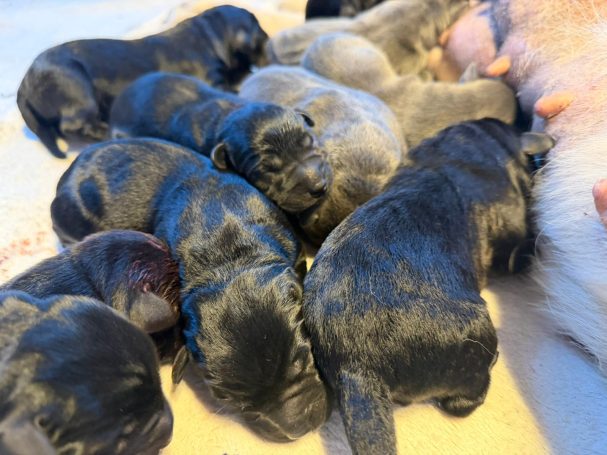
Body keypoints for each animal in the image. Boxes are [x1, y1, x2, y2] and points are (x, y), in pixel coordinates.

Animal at [17, 5, 268, 158]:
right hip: (76, 86)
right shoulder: (213, 79)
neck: (209, 35)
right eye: (262, 41)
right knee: (72, 124)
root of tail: (24, 85)